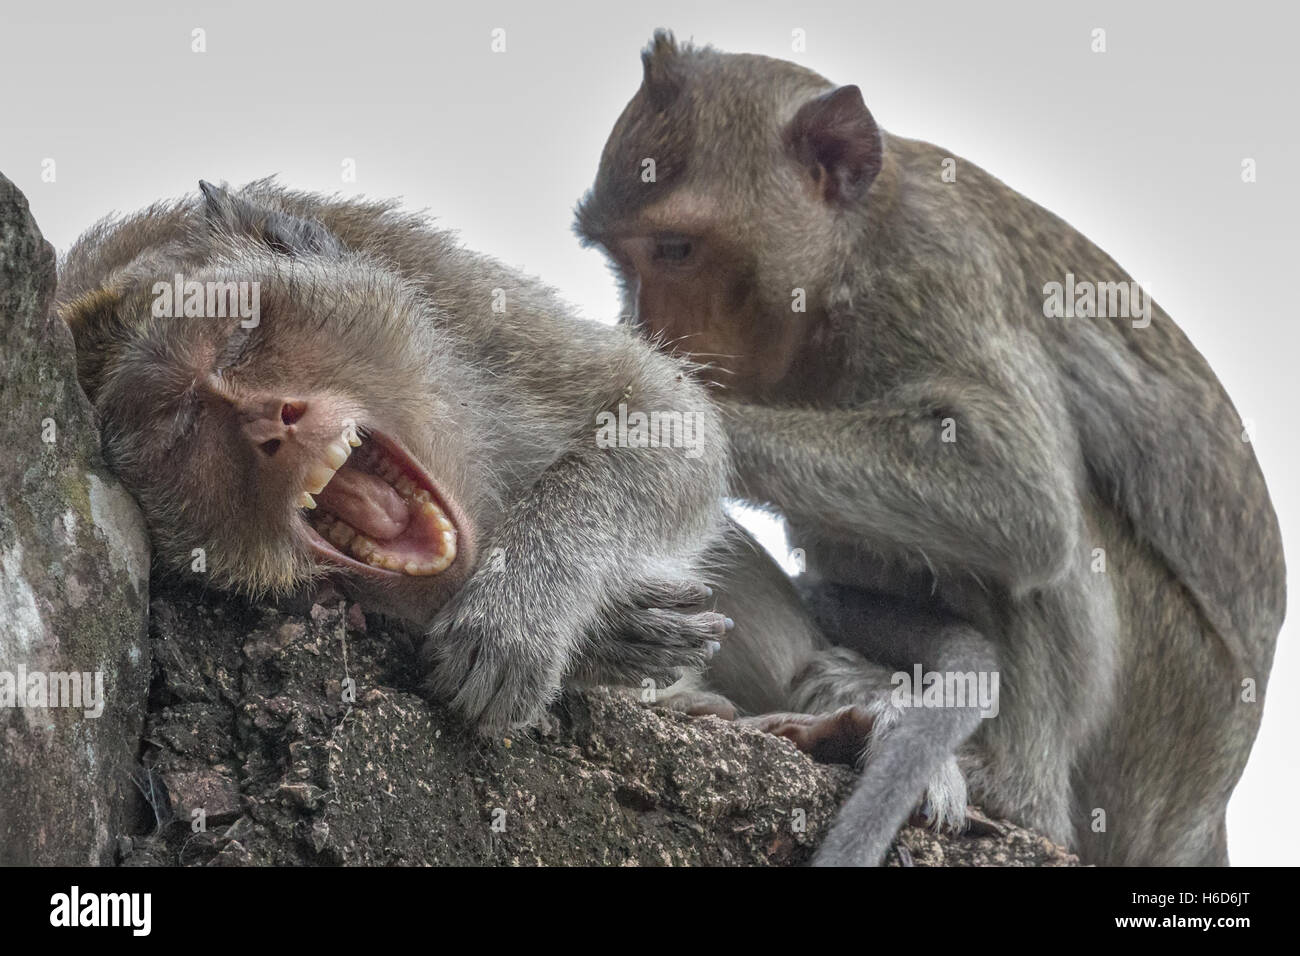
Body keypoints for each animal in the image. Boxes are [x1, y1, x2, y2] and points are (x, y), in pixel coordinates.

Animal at [574, 31, 1284, 868]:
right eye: (622, 260)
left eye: (677, 248)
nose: (651, 331)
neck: (849, 256)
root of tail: (1205, 813)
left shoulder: (931, 273)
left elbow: (1020, 495)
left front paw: (661, 419)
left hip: (1164, 729)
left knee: (1036, 534)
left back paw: (1009, 788)